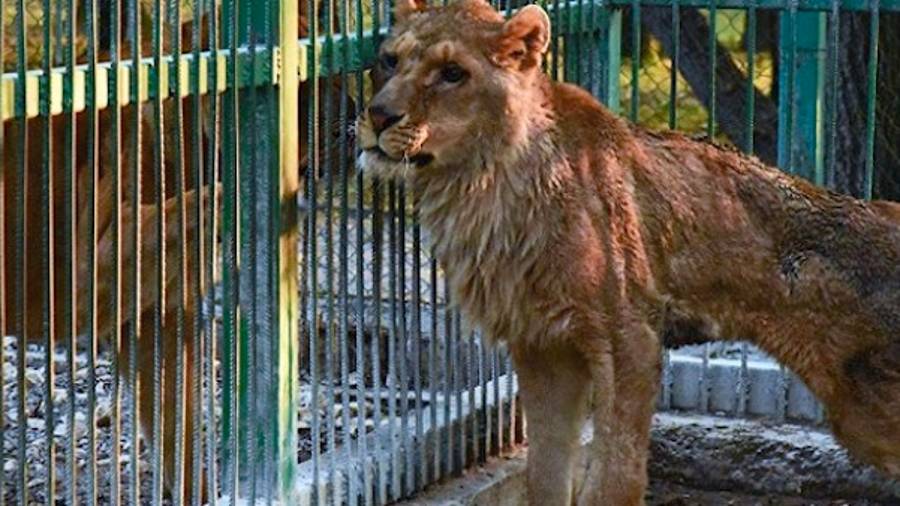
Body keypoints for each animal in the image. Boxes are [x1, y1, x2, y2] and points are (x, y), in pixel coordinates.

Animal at [354, 0, 900, 504]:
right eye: (388, 60)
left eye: (453, 73)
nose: (378, 115)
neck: (480, 184)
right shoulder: (542, 345)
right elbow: (546, 472)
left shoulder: (629, 339)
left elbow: (614, 476)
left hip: (867, 414)